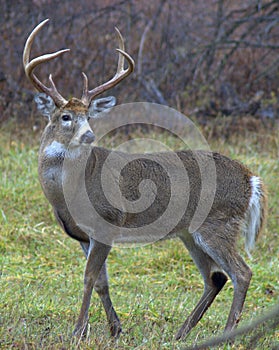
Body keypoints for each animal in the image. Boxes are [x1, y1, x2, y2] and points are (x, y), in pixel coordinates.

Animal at [23, 19, 268, 342]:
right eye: (65, 117)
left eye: (89, 116)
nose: (89, 135)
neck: (67, 193)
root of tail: (251, 179)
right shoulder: (82, 236)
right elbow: (101, 282)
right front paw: (115, 329)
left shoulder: (107, 224)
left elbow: (89, 278)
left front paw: (78, 332)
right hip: (190, 232)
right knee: (215, 277)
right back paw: (181, 333)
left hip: (218, 223)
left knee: (241, 272)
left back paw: (226, 333)